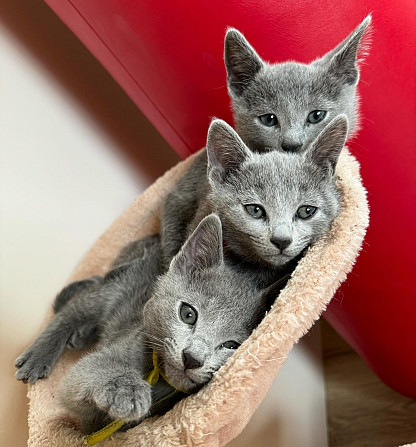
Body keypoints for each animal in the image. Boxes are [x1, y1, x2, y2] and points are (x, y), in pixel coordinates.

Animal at [15, 216, 280, 434]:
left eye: (232, 345)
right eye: (188, 314)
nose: (192, 358)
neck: (158, 377)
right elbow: (88, 376)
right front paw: (126, 389)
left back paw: (82, 334)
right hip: (118, 285)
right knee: (73, 309)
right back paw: (39, 355)